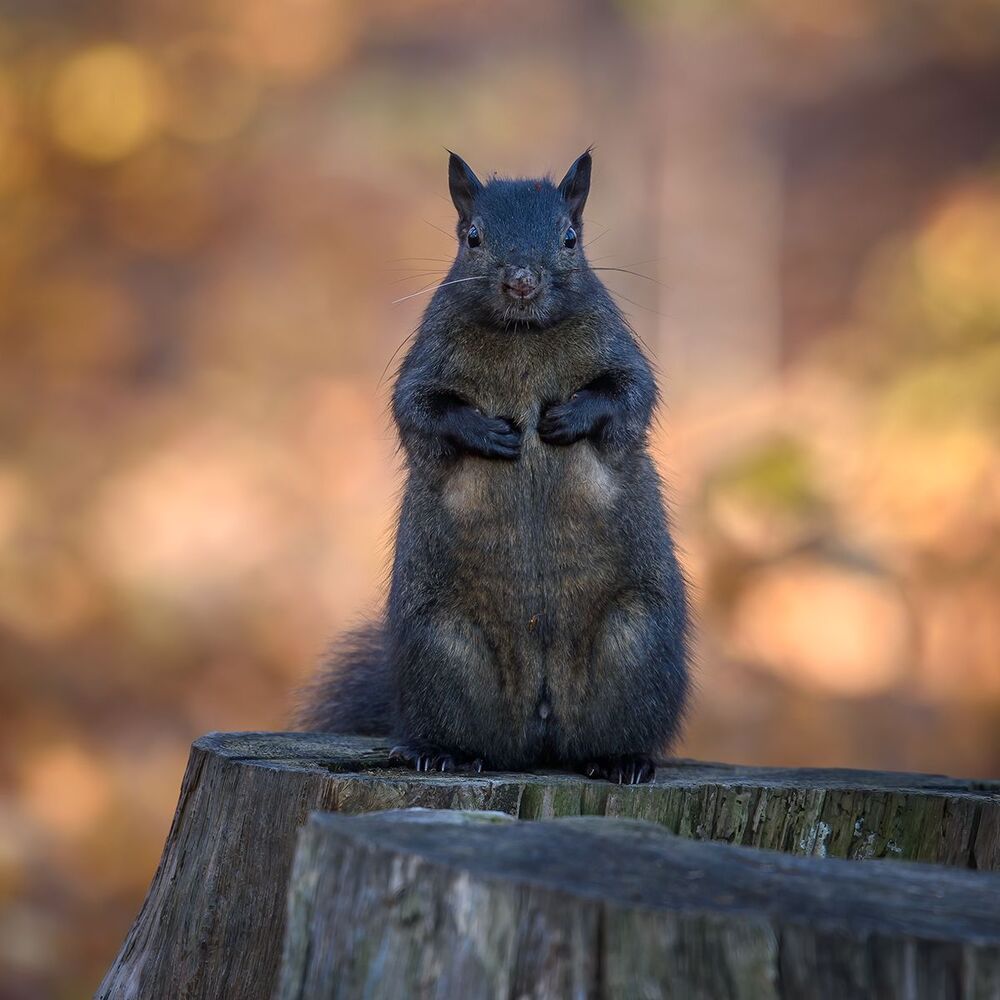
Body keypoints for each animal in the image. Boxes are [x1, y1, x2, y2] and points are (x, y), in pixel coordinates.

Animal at [298, 150, 690, 785]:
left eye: (570, 237)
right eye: (472, 237)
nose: (522, 281)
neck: (522, 333)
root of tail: (540, 731)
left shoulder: (621, 356)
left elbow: (629, 396)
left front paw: (565, 419)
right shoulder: (424, 363)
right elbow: (420, 410)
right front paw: (490, 432)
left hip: (636, 645)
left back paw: (620, 760)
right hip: (443, 645)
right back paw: (442, 753)